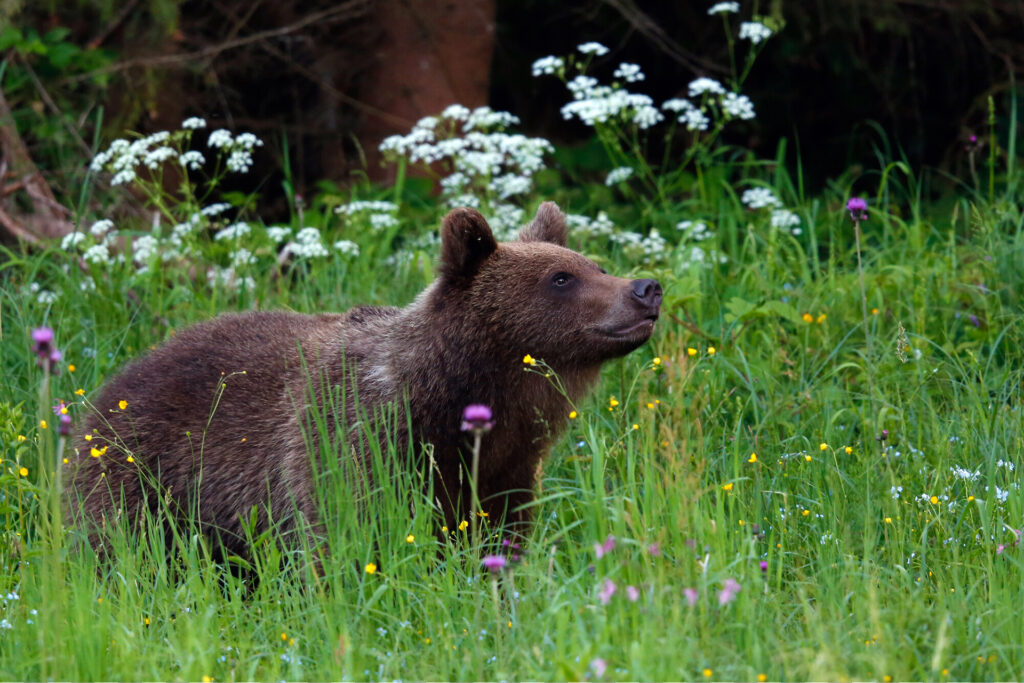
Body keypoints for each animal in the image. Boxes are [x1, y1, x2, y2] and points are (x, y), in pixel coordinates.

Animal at [67, 203, 662, 556]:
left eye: (594, 264)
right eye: (561, 277)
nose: (646, 288)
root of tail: (107, 391)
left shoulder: (505, 467)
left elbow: (497, 536)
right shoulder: (356, 443)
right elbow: (348, 536)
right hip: (147, 476)